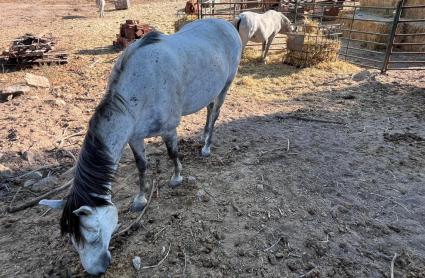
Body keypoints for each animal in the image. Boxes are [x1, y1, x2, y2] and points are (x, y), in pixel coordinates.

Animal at [39, 19, 242, 276]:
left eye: (93, 235)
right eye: (73, 240)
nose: (97, 270)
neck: (141, 87)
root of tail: (228, 24)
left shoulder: (168, 129)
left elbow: (172, 153)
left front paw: (176, 178)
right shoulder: (134, 137)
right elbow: (141, 166)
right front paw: (140, 200)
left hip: (226, 84)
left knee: (215, 112)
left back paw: (206, 147)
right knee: (208, 109)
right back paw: (204, 136)